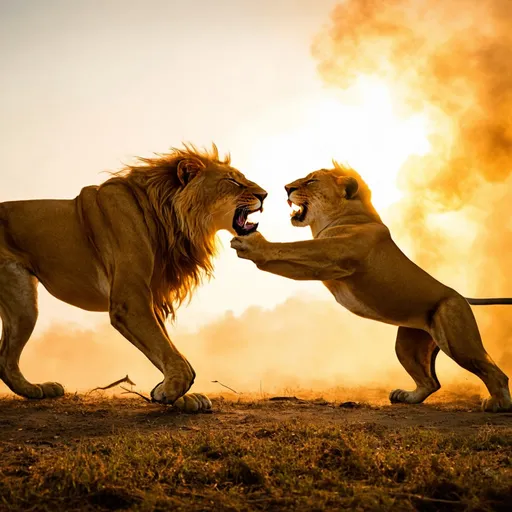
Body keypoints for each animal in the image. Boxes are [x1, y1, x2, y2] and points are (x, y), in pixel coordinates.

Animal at [1, 143, 268, 412]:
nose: (265, 195)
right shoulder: (129, 302)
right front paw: (168, 391)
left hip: (23, 304)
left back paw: (36, 389)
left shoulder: (151, 296)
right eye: (232, 181)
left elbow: (167, 347)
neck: (169, 219)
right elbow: (171, 353)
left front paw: (183, 397)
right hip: (22, 299)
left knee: (5, 359)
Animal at [232, 163, 512, 412]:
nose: (287, 187)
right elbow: (288, 256)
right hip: (408, 345)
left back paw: (498, 404)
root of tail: (460, 295)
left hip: (457, 339)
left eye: (311, 181)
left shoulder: (334, 253)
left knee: (495, 373)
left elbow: (293, 248)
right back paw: (407, 397)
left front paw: (253, 244)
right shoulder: (321, 262)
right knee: (431, 382)